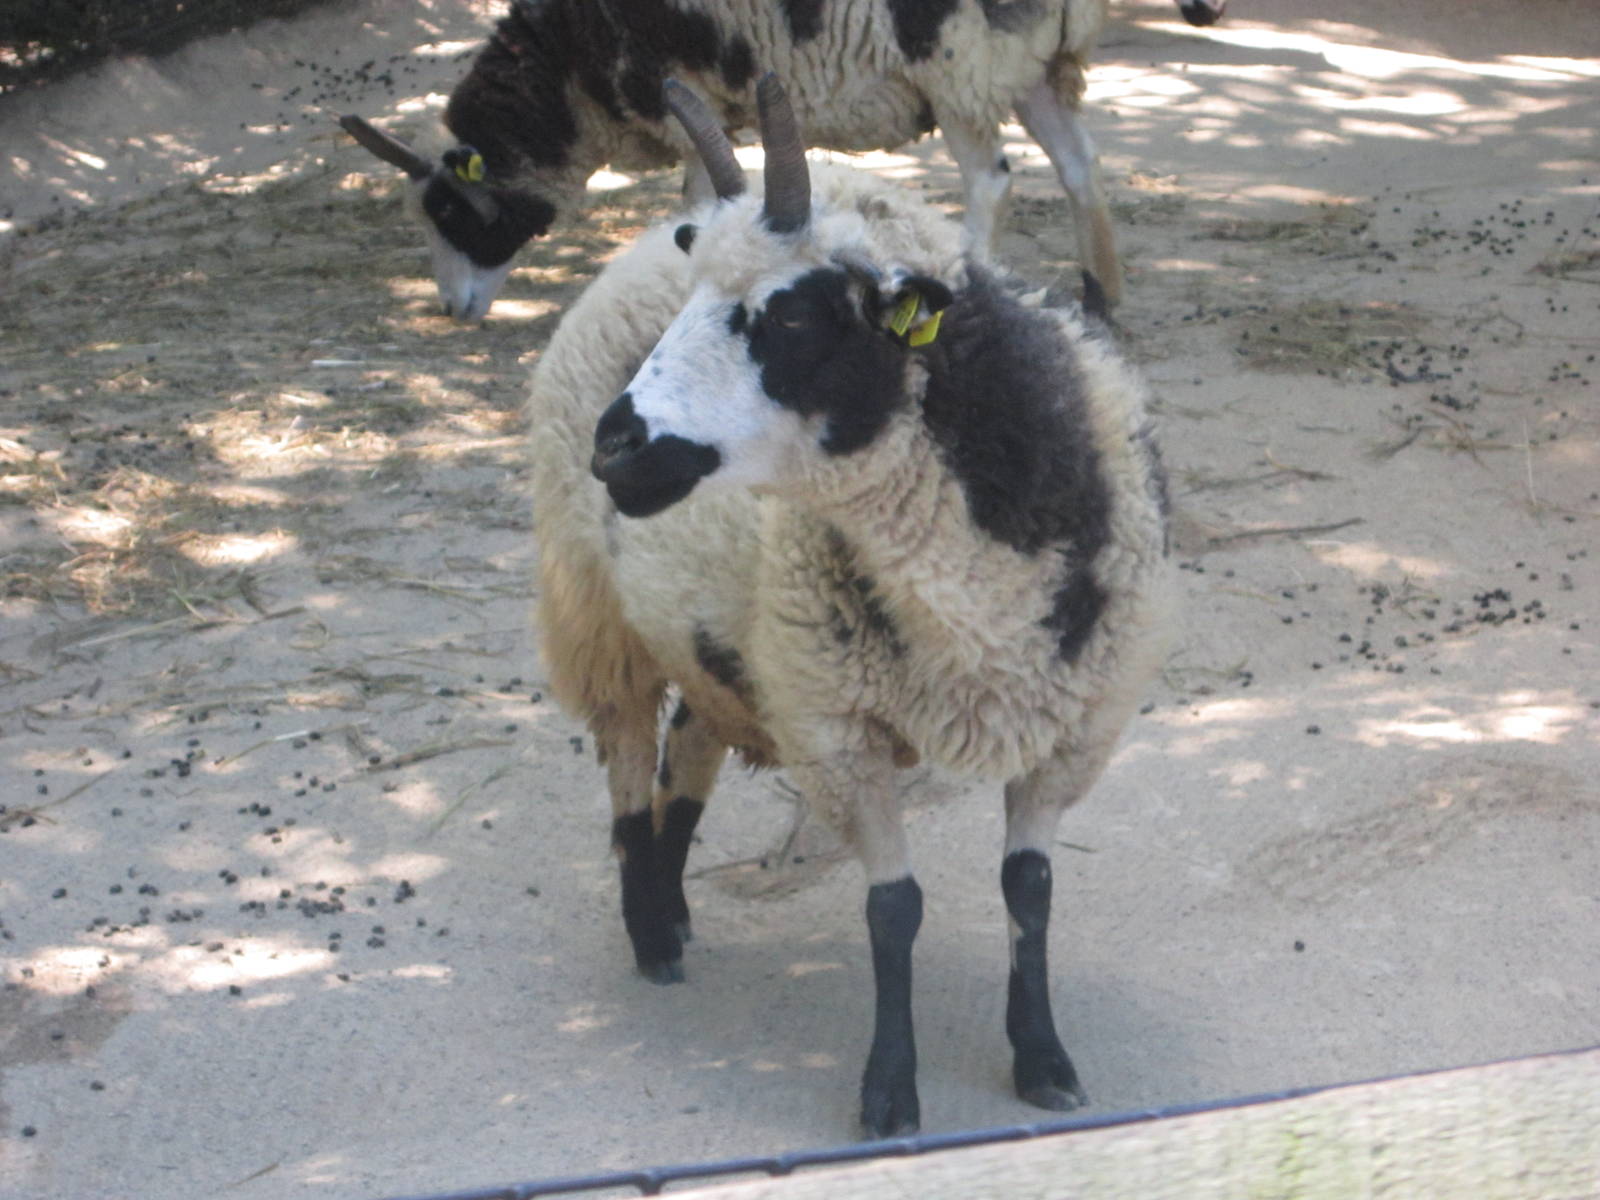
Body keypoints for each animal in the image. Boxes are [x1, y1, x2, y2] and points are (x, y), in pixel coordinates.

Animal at [341, 0, 1217, 322]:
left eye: (451, 212)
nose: (451, 310)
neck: (564, 75)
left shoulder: (678, 87)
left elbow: (695, 198)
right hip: (1033, 65)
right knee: (1080, 164)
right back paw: (1100, 295)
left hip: (959, 61)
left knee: (990, 180)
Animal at [527, 74, 1172, 1138]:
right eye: (699, 299)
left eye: (791, 319)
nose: (615, 446)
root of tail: (643, 242)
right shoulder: (839, 729)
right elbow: (893, 910)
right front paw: (890, 1094)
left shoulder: (1072, 726)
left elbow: (1030, 888)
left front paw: (1043, 1060)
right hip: (594, 606)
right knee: (624, 754)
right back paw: (650, 930)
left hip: (728, 633)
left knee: (688, 742)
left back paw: (673, 900)